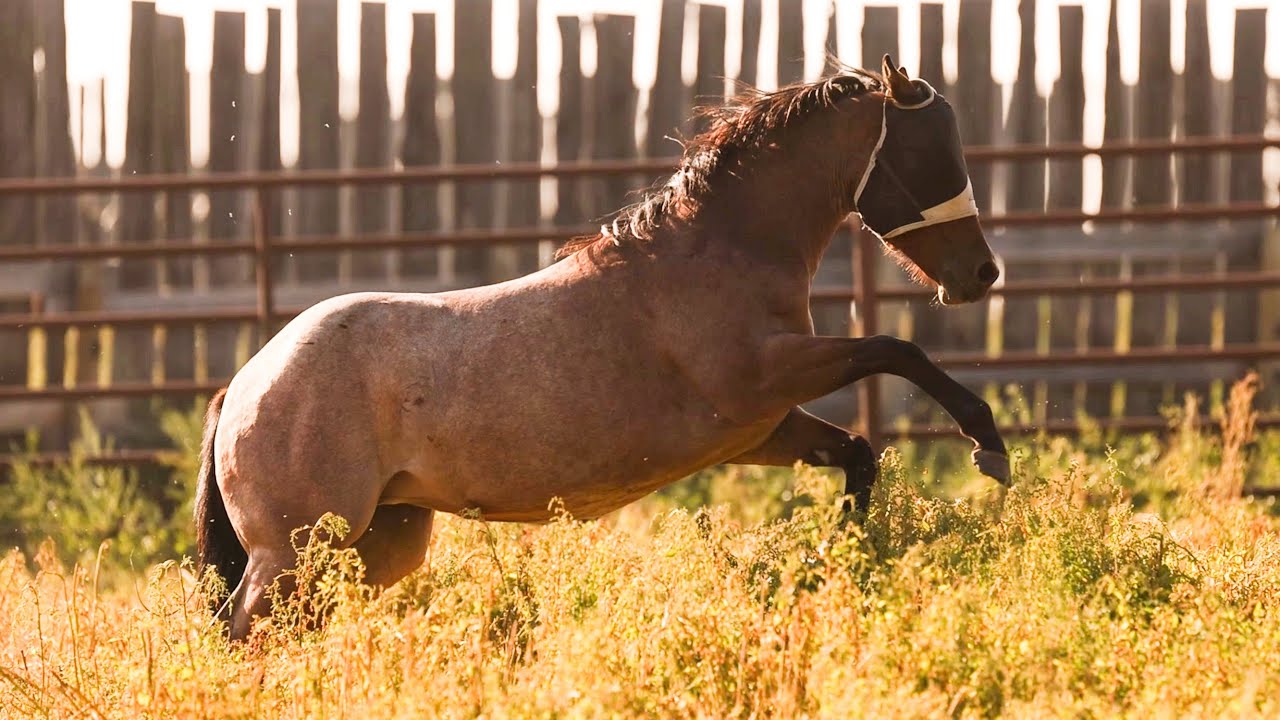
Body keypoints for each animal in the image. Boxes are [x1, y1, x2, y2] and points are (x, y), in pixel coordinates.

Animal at [196, 55, 1009, 640]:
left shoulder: (759, 428)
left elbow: (858, 451)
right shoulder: (764, 379)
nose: (981, 273)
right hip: (295, 550)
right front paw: (990, 448)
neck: (714, 252)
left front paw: (838, 559)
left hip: (373, 544)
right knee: (244, 633)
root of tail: (243, 385)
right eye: (933, 152)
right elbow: (895, 349)